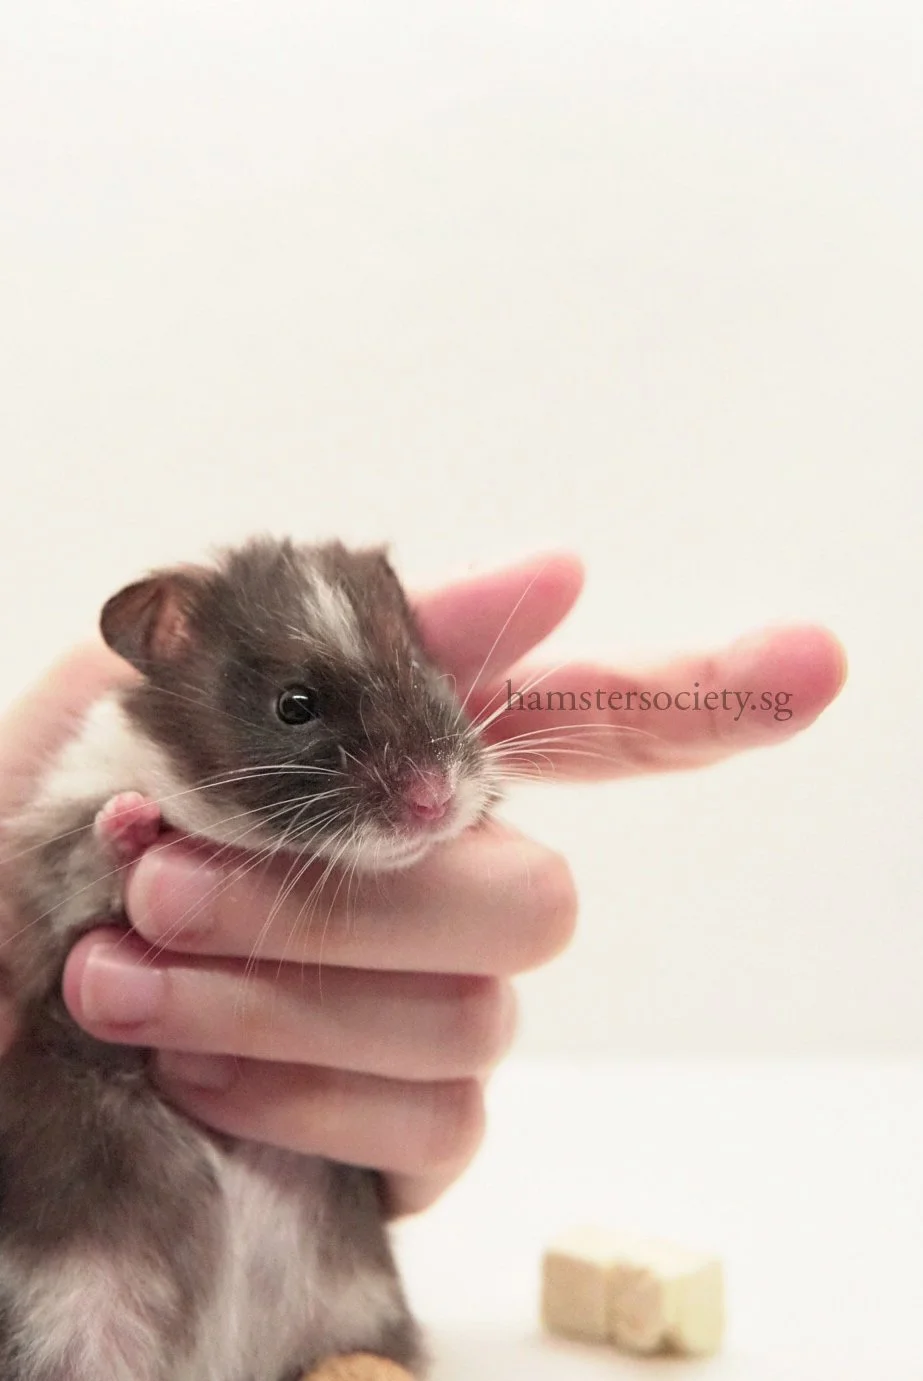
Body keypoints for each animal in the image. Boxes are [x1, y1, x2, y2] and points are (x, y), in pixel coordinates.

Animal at [0, 537, 501, 1381]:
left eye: (424, 670)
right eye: (293, 705)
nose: (436, 802)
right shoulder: (37, 887)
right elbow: (83, 859)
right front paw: (133, 820)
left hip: (359, 1308)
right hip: (66, 1329)